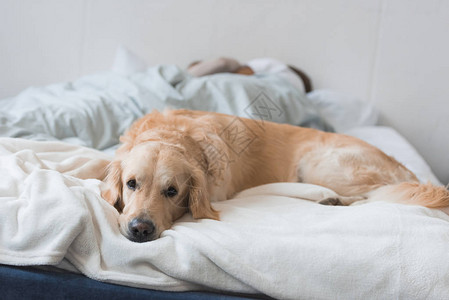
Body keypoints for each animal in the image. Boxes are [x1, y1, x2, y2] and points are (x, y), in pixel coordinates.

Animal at [102, 109, 448, 243]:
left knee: (374, 196)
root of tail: (405, 169)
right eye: (131, 184)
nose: (140, 229)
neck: (178, 136)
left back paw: (333, 200)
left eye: (172, 191)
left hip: (319, 163)